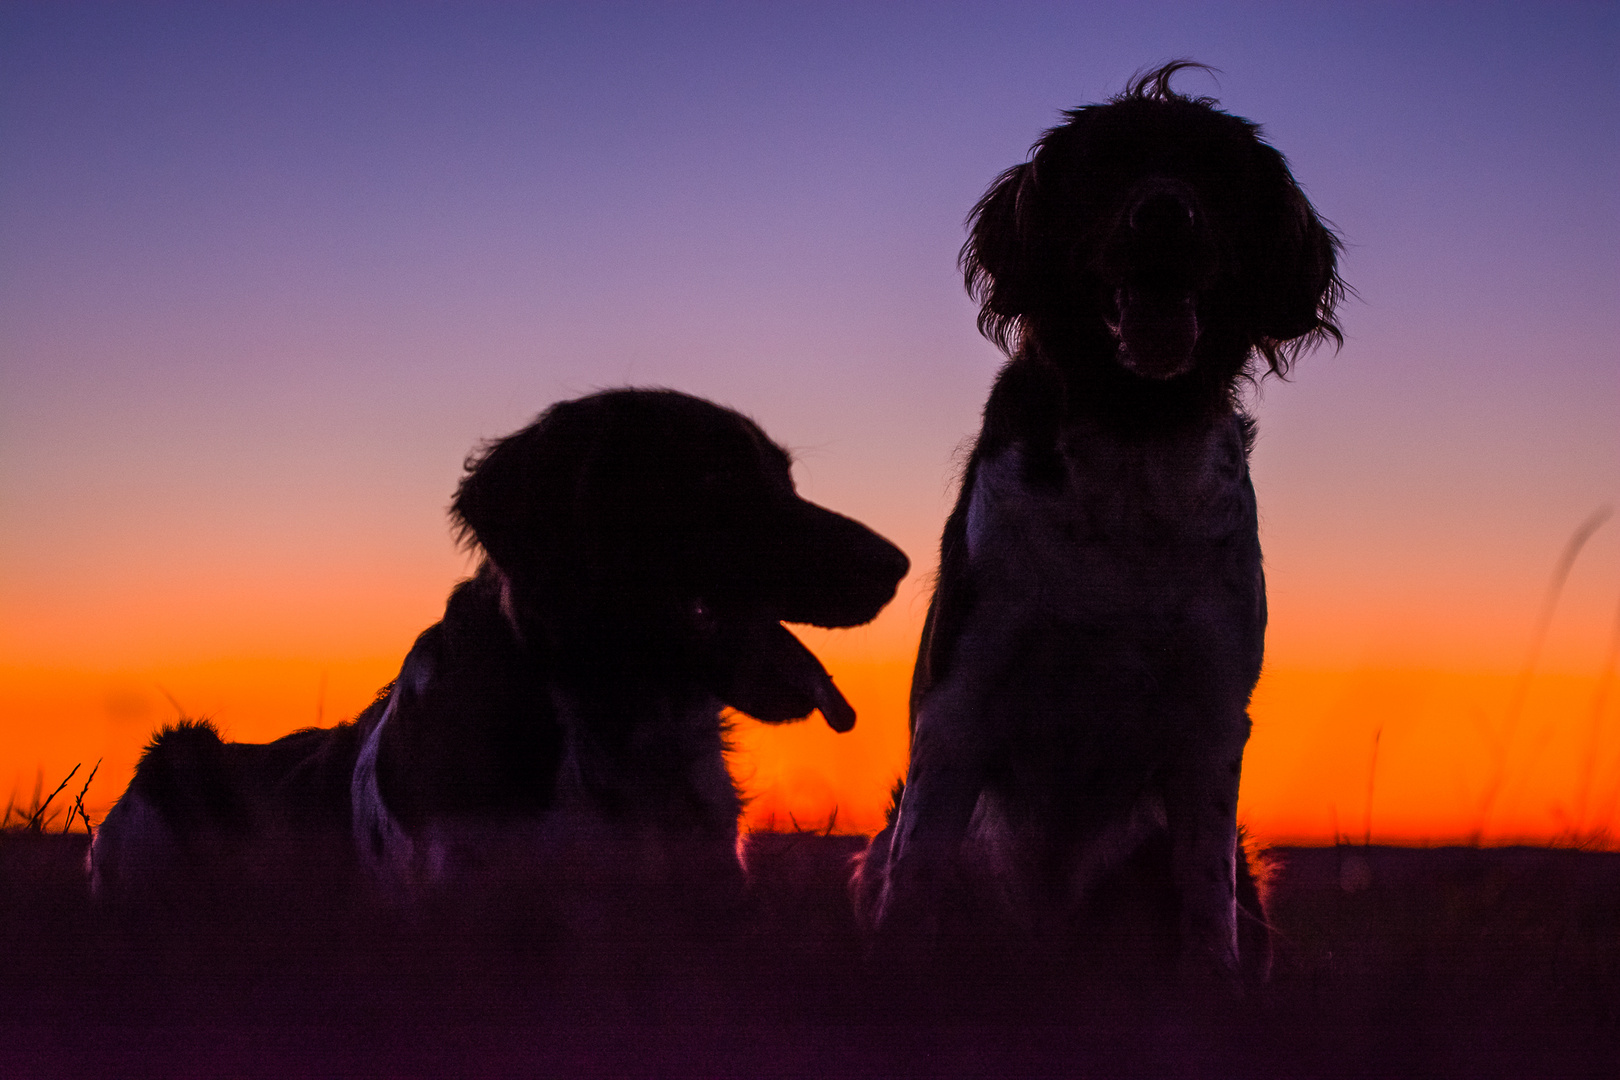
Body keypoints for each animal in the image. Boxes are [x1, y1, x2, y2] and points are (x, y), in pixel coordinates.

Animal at [855, 61, 1347, 990]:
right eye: (1106, 167)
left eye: (1217, 174)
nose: (1164, 217)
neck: (1131, 434)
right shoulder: (961, 696)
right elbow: (919, 876)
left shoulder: (1211, 713)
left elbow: (1206, 903)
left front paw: (1210, 994)